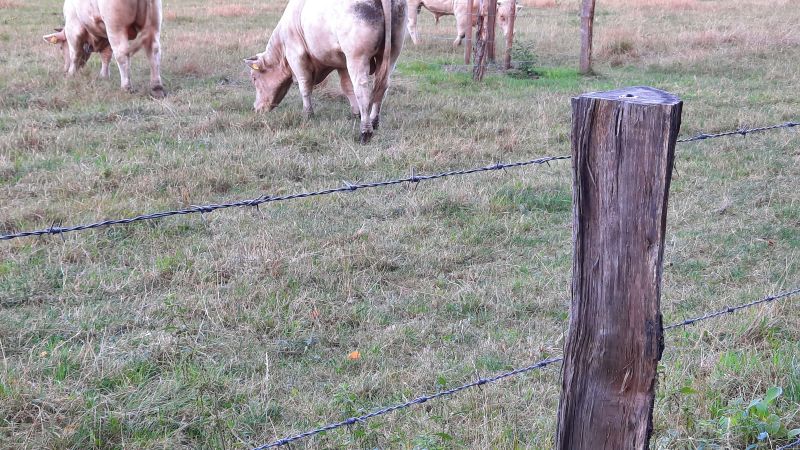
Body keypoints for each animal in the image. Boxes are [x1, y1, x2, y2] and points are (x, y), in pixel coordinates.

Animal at [244, 0, 406, 143]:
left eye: (254, 78)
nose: (255, 108)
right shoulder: (342, 63)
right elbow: (347, 88)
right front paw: (355, 113)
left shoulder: (297, 56)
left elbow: (304, 87)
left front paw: (308, 114)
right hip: (392, 53)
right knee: (382, 87)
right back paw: (374, 122)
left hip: (357, 57)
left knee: (362, 90)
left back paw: (365, 132)